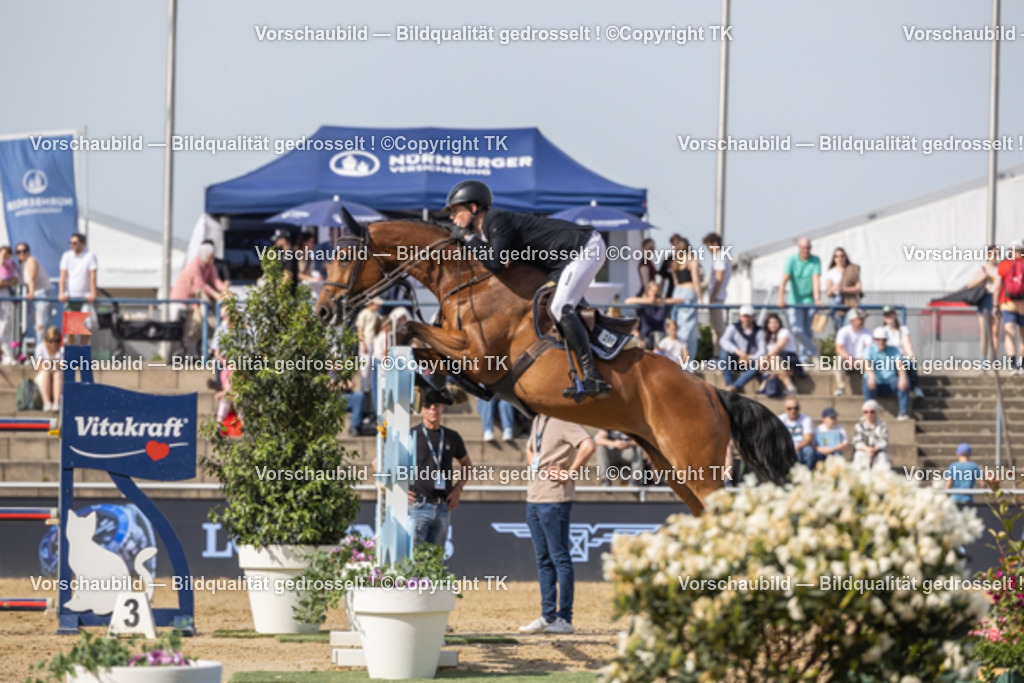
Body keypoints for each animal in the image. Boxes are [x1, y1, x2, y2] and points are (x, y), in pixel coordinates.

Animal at [316, 217, 795, 515]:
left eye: (346, 258)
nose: (322, 311)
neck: (465, 282)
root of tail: (712, 391)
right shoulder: (465, 355)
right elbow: (420, 347)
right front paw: (437, 390)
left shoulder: (479, 355)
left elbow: (410, 328)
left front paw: (433, 380)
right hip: (670, 466)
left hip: (698, 466)